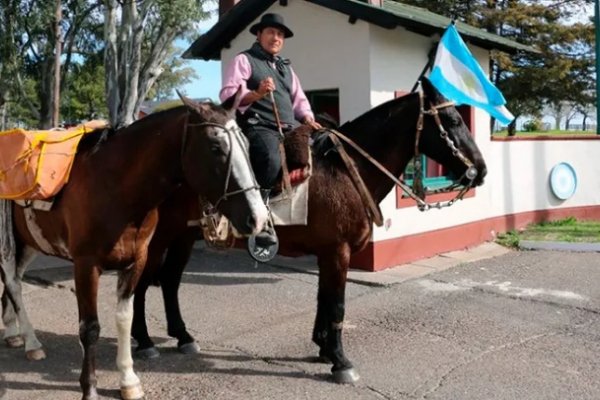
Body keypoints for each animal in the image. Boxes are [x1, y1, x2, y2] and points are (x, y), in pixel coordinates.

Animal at [0, 95, 268, 398]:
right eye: (215, 147)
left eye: (247, 145)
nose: (258, 217)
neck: (115, 188)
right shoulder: (86, 264)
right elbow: (90, 327)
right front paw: (89, 387)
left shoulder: (135, 260)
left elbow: (125, 318)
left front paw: (128, 380)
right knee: (13, 283)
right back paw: (31, 342)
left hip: (29, 243)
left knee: (13, 281)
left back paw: (14, 334)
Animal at [127, 77, 488, 382]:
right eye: (453, 121)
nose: (481, 170)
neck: (346, 171)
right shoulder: (338, 251)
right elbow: (337, 303)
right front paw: (341, 362)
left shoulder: (328, 253)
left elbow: (323, 299)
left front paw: (324, 349)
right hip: (159, 238)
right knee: (142, 284)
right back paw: (144, 341)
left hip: (184, 236)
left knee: (170, 280)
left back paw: (183, 336)